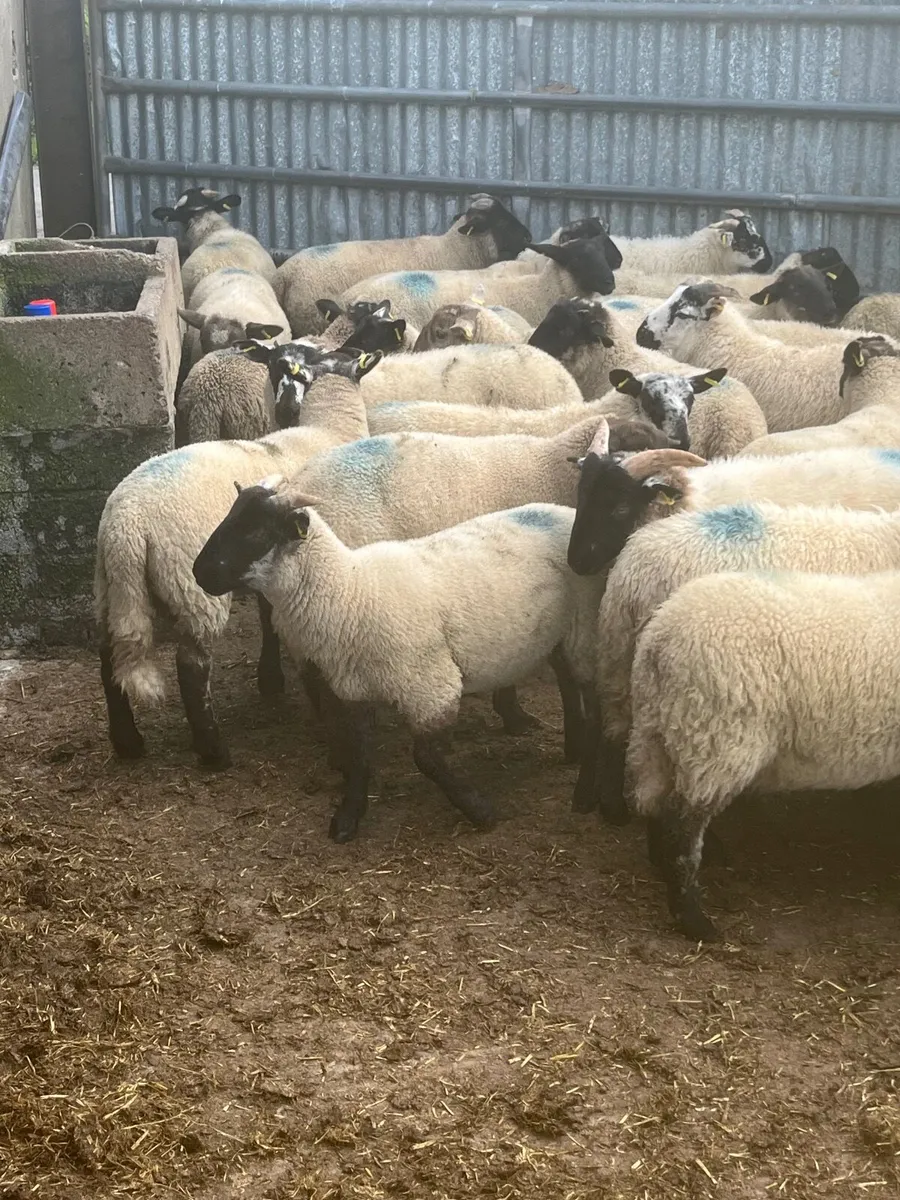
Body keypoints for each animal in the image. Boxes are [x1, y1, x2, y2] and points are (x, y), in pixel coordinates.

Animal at [96, 346, 382, 770]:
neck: (327, 428)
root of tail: (125, 525)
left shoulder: (269, 563)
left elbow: (267, 615)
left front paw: (270, 679)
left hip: (110, 588)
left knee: (107, 654)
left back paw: (127, 742)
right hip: (193, 588)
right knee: (191, 667)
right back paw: (213, 751)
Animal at [193, 494, 605, 842]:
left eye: (256, 531)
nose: (198, 573)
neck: (350, 593)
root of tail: (564, 510)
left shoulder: (432, 688)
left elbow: (426, 759)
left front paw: (479, 811)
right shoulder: (354, 690)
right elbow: (359, 755)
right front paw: (348, 817)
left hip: (583, 627)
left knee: (587, 694)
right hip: (558, 633)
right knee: (567, 682)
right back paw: (573, 748)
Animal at [628, 568, 900, 940]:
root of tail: (659, 635)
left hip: (659, 732)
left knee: (655, 804)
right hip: (715, 735)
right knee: (683, 829)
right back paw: (696, 922)